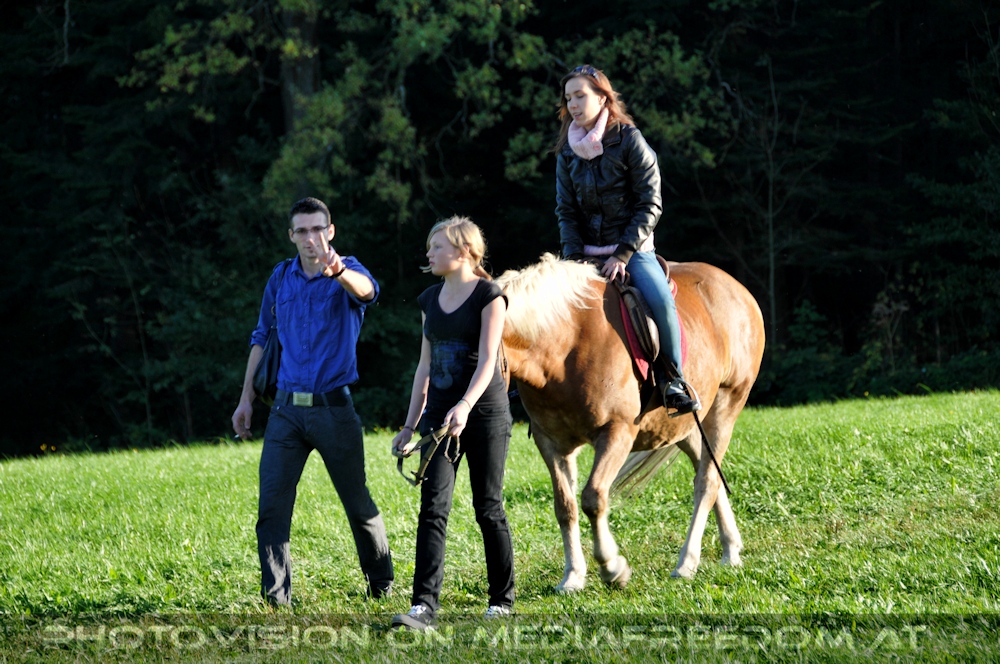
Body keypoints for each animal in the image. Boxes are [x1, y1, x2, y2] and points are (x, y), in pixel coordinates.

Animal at [495, 254, 765, 590]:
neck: (566, 343)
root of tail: (739, 290)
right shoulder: (552, 443)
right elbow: (565, 506)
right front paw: (573, 576)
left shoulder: (617, 432)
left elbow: (593, 498)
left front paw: (613, 568)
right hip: (686, 427)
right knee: (708, 470)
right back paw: (730, 549)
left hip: (726, 406)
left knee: (707, 482)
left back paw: (687, 562)